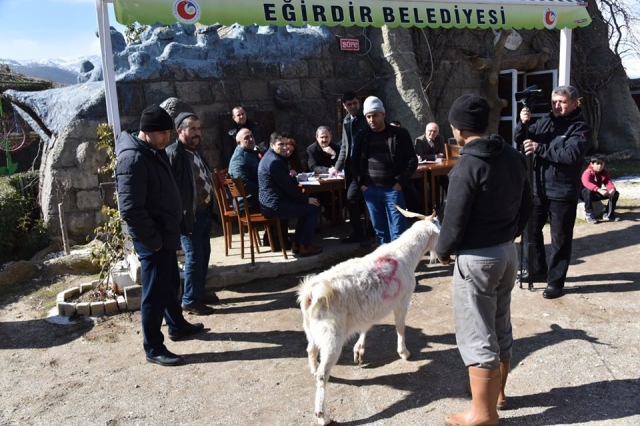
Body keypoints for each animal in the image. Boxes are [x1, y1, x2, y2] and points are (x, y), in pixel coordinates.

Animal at [296, 208, 438, 424]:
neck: (404, 254)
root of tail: (310, 293)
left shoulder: (369, 309)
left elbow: (366, 326)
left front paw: (359, 351)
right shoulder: (402, 302)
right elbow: (401, 327)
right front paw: (404, 353)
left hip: (311, 329)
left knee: (311, 350)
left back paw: (313, 370)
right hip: (331, 337)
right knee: (322, 374)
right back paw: (322, 416)